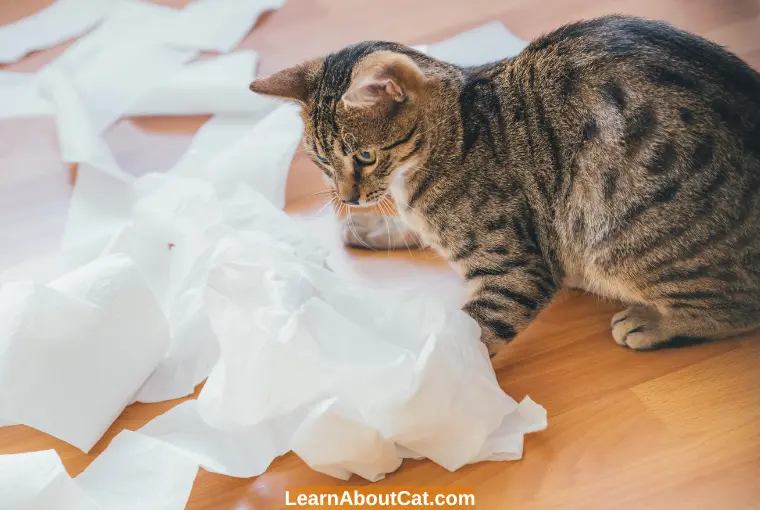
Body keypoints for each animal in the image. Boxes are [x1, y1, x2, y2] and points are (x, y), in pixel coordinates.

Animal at [249, 15, 760, 358]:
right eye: (322, 161)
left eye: (364, 157)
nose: (348, 198)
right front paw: (370, 228)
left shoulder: (517, 270)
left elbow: (469, 338)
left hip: (621, 243)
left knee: (740, 307)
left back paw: (651, 322)